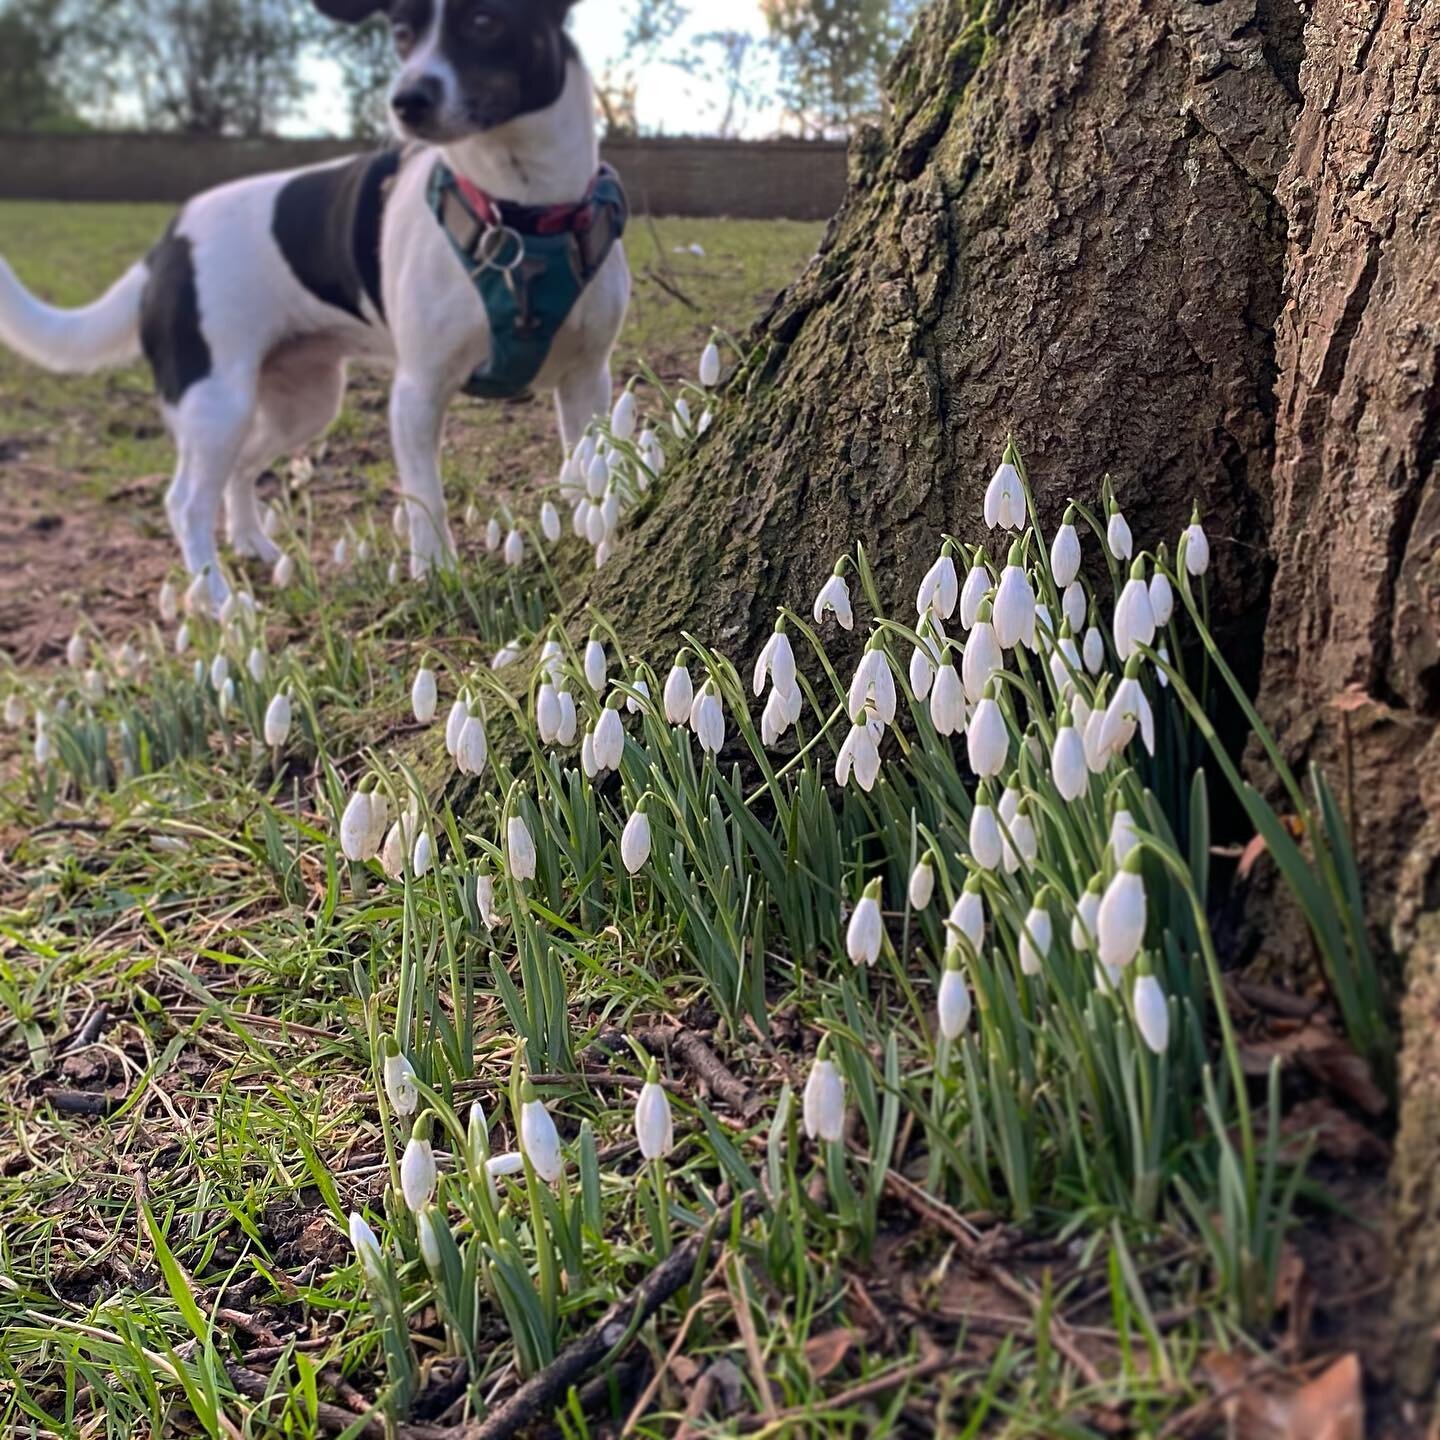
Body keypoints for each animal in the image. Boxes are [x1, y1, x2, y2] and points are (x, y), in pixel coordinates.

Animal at [0, 0, 630, 607]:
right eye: (401, 33)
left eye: (485, 20)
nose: (406, 101)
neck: (522, 210)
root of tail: (168, 245)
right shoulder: (418, 392)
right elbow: (426, 500)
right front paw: (437, 576)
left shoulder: (586, 378)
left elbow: (590, 474)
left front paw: (597, 537)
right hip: (215, 403)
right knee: (185, 502)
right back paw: (218, 599)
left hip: (305, 402)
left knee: (241, 469)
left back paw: (252, 545)